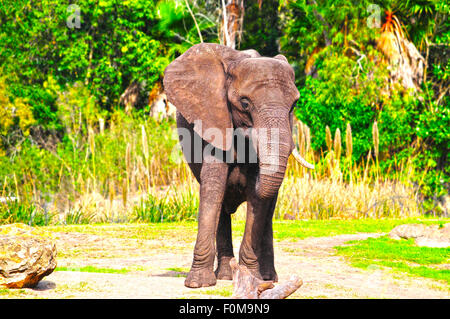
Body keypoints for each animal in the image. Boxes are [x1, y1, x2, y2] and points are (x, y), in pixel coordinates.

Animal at [163, 41, 312, 288]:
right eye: (244, 103)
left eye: (294, 105)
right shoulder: (214, 119)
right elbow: (213, 190)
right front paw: (198, 284)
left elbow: (258, 201)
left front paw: (252, 279)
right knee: (222, 207)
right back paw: (224, 276)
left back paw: (267, 278)